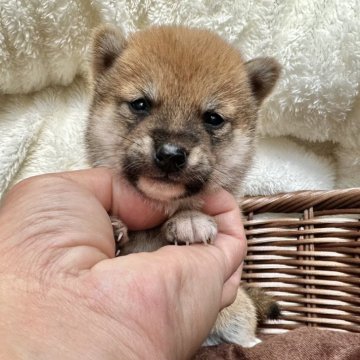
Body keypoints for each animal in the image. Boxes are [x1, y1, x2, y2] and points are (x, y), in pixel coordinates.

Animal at [86, 23, 280, 348]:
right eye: (141, 104)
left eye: (213, 118)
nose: (170, 154)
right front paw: (115, 226)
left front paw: (189, 219)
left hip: (237, 315)